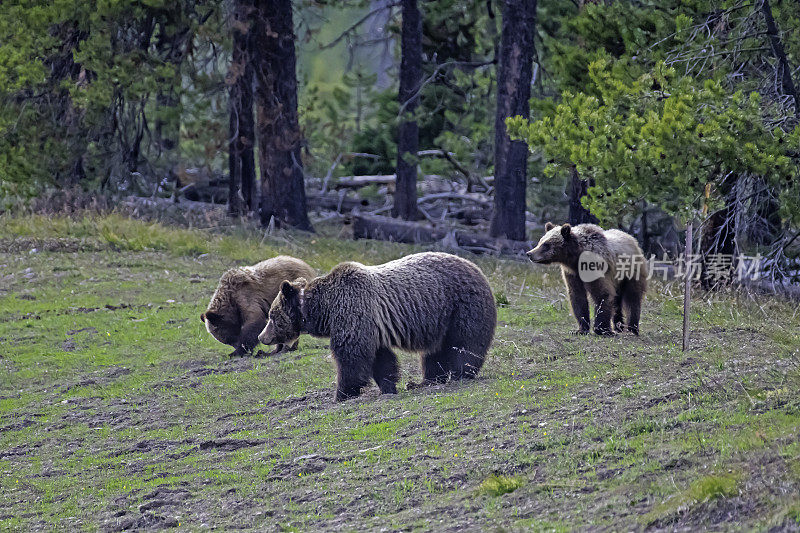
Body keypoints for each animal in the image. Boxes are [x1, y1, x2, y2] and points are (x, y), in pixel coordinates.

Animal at [258, 252, 494, 400]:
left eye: (271, 316)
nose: (262, 337)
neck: (324, 309)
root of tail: (477, 268)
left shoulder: (353, 313)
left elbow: (351, 358)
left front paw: (341, 393)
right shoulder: (372, 328)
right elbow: (381, 360)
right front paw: (389, 386)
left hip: (462, 306)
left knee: (465, 343)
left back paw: (461, 373)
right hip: (440, 320)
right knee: (434, 352)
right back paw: (426, 381)